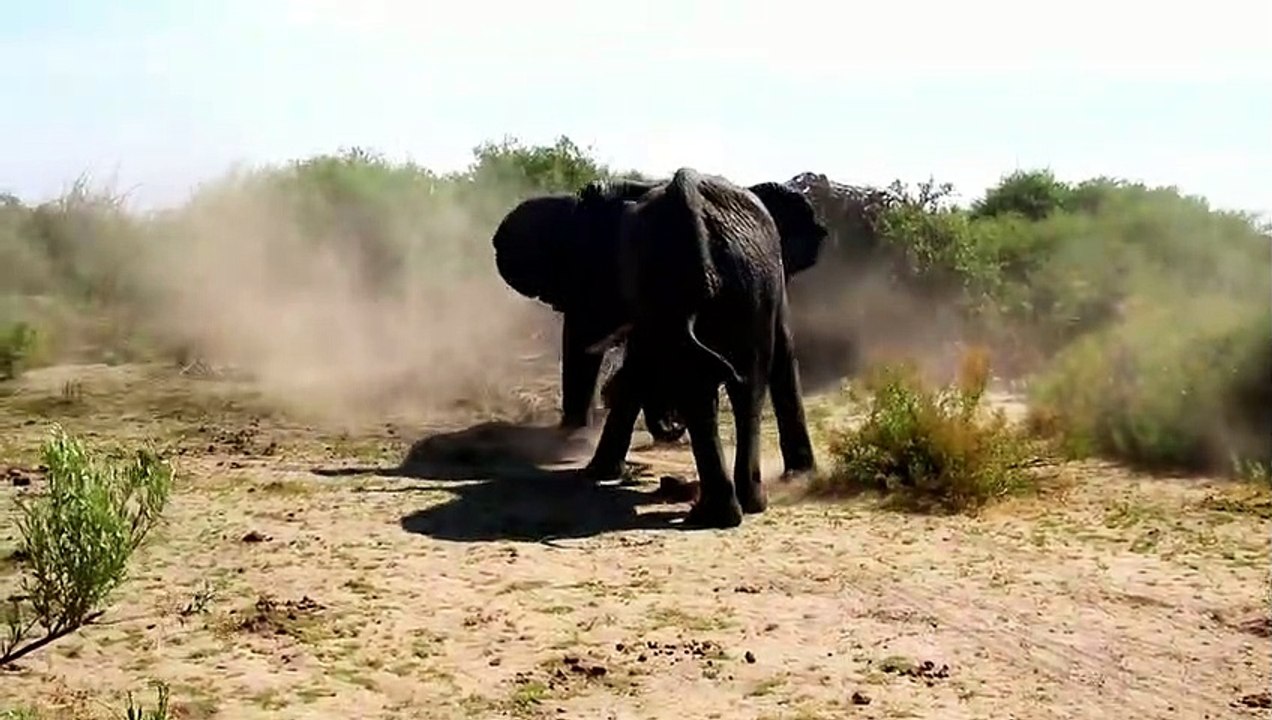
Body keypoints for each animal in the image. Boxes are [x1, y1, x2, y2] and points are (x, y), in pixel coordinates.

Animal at [575, 167, 818, 528]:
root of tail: (684, 194)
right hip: (730, 285)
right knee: (734, 385)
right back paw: (733, 510)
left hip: (727, 285)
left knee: (722, 382)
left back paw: (728, 510)